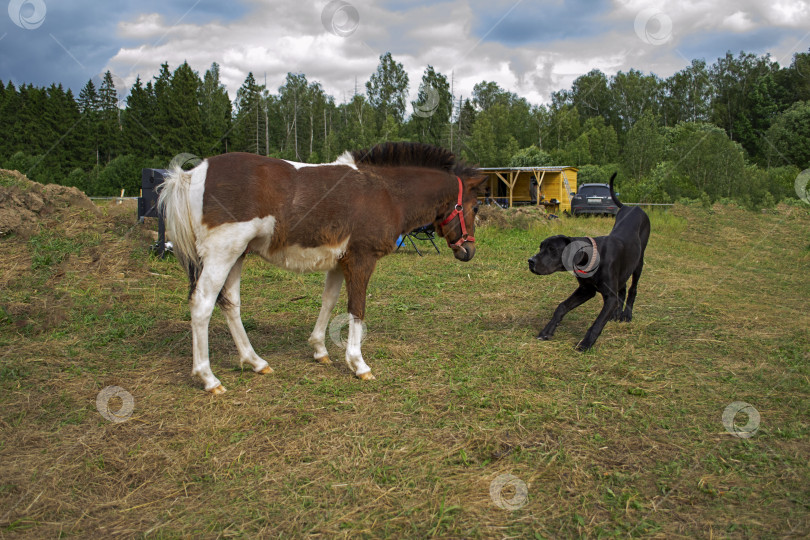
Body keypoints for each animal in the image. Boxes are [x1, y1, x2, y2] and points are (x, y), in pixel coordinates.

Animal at [161, 141, 482, 394]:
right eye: (476, 207)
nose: (468, 251)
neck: (386, 192)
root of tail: (193, 174)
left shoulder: (339, 263)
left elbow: (329, 302)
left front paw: (319, 350)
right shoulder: (361, 260)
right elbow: (357, 308)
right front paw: (358, 364)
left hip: (237, 256)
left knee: (230, 304)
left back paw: (256, 362)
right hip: (222, 254)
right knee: (202, 305)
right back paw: (208, 379)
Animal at [524, 173, 652, 350]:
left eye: (552, 249)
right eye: (541, 247)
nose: (531, 261)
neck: (592, 258)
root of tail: (631, 207)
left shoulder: (609, 296)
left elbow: (598, 322)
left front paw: (586, 343)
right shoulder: (586, 289)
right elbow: (561, 307)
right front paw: (547, 331)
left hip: (638, 262)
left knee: (632, 289)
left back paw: (626, 314)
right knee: (623, 288)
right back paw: (617, 313)